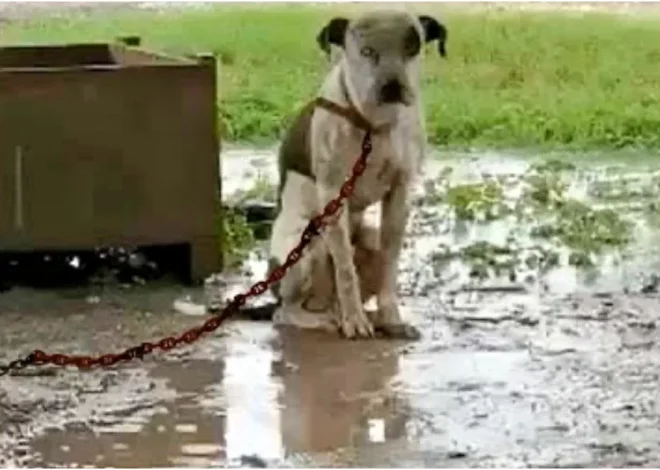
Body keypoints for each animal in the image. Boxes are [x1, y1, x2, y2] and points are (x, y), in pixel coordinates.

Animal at [268, 10, 448, 338]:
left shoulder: (400, 193)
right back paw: (328, 320)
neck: (374, 125)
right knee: (285, 311)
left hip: (366, 241)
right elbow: (345, 269)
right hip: (305, 247)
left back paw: (366, 316)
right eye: (366, 51)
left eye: (412, 46)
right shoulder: (333, 195)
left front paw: (391, 317)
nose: (392, 85)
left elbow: (390, 263)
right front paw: (354, 321)